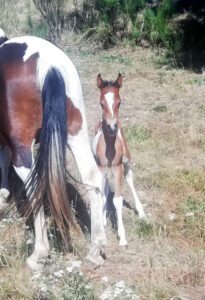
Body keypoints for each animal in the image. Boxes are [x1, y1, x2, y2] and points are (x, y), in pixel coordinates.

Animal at [0, 29, 105, 270]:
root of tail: (49, 64)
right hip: (77, 133)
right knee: (92, 176)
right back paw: (94, 251)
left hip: (24, 149)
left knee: (35, 186)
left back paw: (38, 254)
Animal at [92, 73, 147, 246]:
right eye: (101, 103)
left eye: (119, 102)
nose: (111, 127)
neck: (109, 147)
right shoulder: (101, 167)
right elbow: (102, 194)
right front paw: (101, 226)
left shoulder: (117, 167)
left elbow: (117, 200)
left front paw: (122, 237)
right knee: (105, 189)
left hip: (126, 161)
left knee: (129, 178)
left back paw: (141, 212)